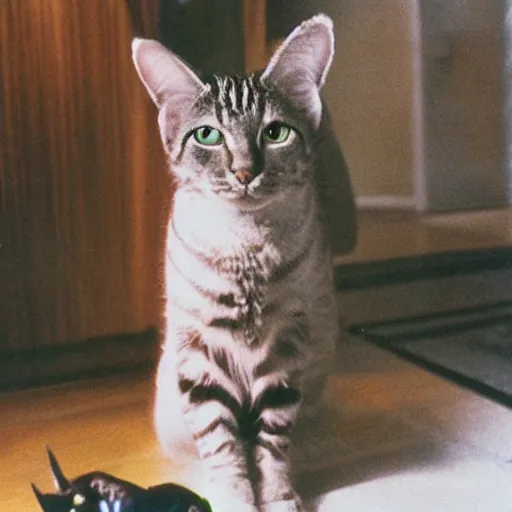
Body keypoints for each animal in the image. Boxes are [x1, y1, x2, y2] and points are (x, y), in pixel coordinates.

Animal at [132, 12, 356, 512]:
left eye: (275, 133)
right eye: (207, 135)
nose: (244, 172)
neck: (246, 248)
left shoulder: (288, 344)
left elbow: (271, 444)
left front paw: (278, 496)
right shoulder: (199, 352)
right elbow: (222, 444)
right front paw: (234, 497)